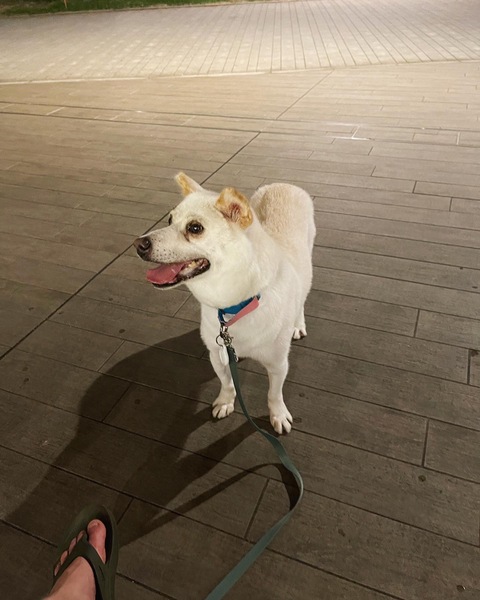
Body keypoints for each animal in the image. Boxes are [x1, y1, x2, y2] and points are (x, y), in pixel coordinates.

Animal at [134, 173, 315, 434]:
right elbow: (227, 383)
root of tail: (282, 184)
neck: (235, 306)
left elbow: (274, 394)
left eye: (195, 228)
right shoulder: (216, 355)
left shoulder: (279, 364)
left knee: (302, 299)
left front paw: (278, 415)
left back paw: (298, 325)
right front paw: (225, 402)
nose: (139, 244)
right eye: (169, 219)